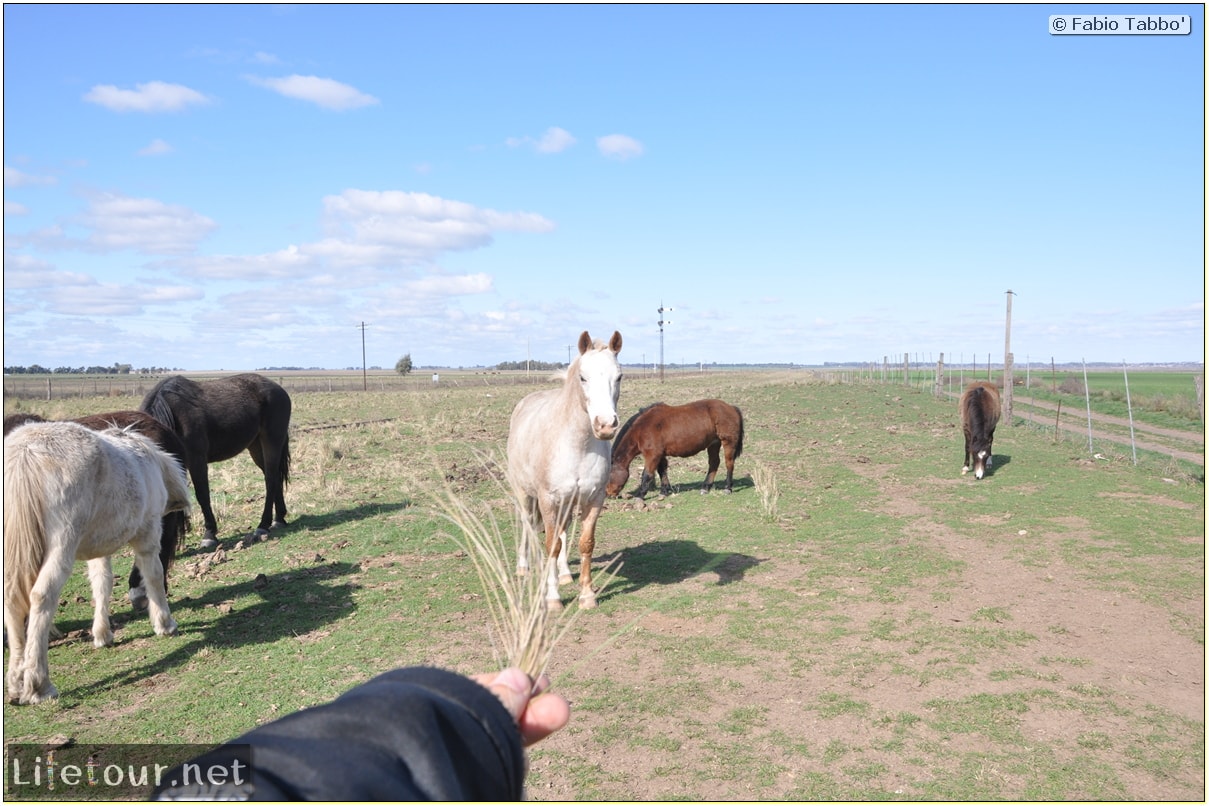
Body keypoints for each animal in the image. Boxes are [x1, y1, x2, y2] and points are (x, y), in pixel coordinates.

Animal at [140, 374, 291, 551]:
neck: (173, 414)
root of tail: (279, 389)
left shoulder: (197, 460)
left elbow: (202, 495)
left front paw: (209, 535)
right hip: (255, 446)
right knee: (274, 477)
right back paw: (279, 519)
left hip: (271, 441)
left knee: (270, 479)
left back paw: (263, 525)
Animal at [507, 331, 623, 609]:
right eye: (583, 377)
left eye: (619, 376)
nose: (605, 425)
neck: (577, 445)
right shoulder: (548, 499)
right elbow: (551, 545)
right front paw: (552, 599)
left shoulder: (594, 498)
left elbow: (585, 543)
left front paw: (587, 595)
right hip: (525, 495)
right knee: (527, 524)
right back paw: (524, 568)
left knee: (562, 530)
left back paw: (565, 574)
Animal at [609, 401, 739, 500]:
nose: (608, 494)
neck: (642, 428)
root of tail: (732, 407)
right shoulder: (660, 455)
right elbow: (662, 471)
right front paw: (664, 491)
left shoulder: (652, 456)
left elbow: (647, 475)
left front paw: (640, 495)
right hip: (713, 444)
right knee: (714, 463)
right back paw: (705, 488)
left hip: (728, 443)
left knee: (729, 463)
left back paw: (728, 488)